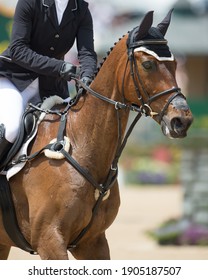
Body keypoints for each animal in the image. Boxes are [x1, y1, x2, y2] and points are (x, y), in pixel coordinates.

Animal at [0, 10, 193, 260]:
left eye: (176, 64)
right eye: (148, 64)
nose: (182, 121)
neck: (81, 145)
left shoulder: (93, 243)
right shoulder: (49, 240)